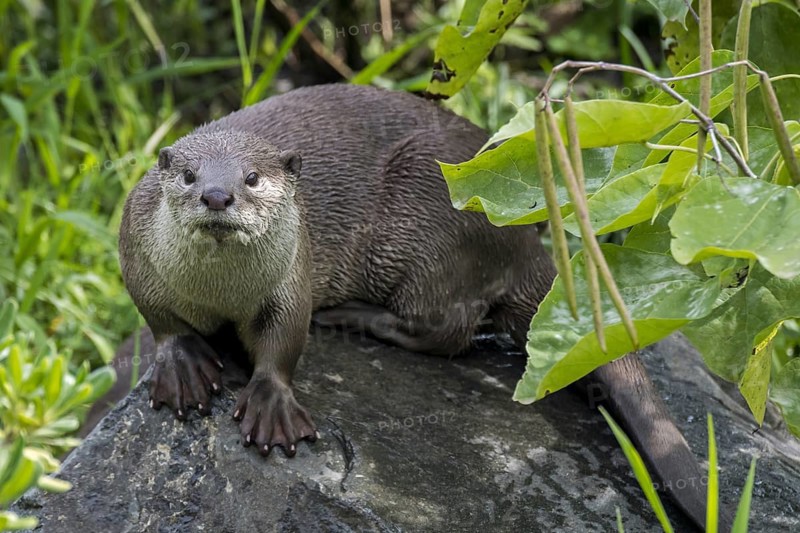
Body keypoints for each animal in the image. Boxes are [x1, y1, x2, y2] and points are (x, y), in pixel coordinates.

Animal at [119, 84, 717, 528]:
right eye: (188, 176)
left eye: (252, 178)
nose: (217, 196)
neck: (218, 292)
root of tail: (522, 238)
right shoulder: (136, 255)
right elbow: (161, 319)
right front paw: (183, 365)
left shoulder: (292, 275)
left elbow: (285, 338)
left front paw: (271, 404)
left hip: (425, 220)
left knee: (447, 327)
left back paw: (354, 317)